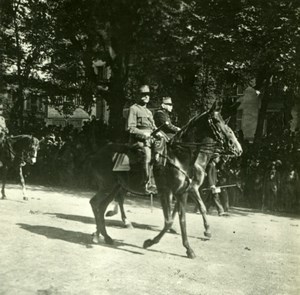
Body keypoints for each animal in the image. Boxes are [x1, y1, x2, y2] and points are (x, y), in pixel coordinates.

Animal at [89, 104, 241, 260]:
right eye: (217, 121)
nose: (236, 148)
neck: (179, 157)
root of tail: (97, 154)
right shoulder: (167, 191)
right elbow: (169, 220)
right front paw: (150, 242)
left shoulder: (182, 192)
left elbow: (182, 218)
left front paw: (189, 248)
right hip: (108, 187)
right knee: (96, 203)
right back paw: (103, 233)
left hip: (115, 187)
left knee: (102, 207)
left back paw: (104, 235)